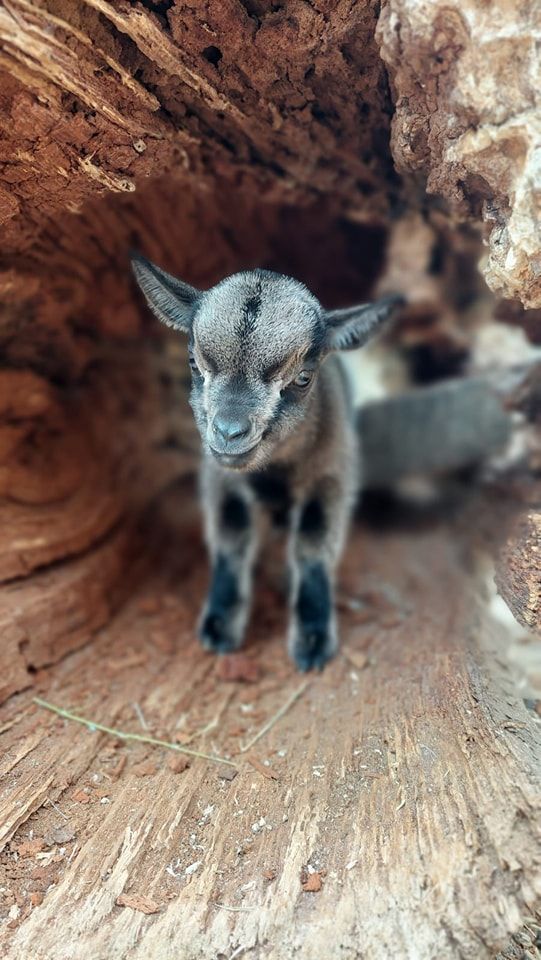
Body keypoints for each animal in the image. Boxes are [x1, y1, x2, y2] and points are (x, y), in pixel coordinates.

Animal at [131, 258, 400, 672]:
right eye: (193, 362)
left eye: (303, 378)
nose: (229, 432)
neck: (274, 472)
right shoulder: (220, 478)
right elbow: (231, 541)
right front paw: (220, 626)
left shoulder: (332, 474)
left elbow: (312, 545)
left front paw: (312, 639)